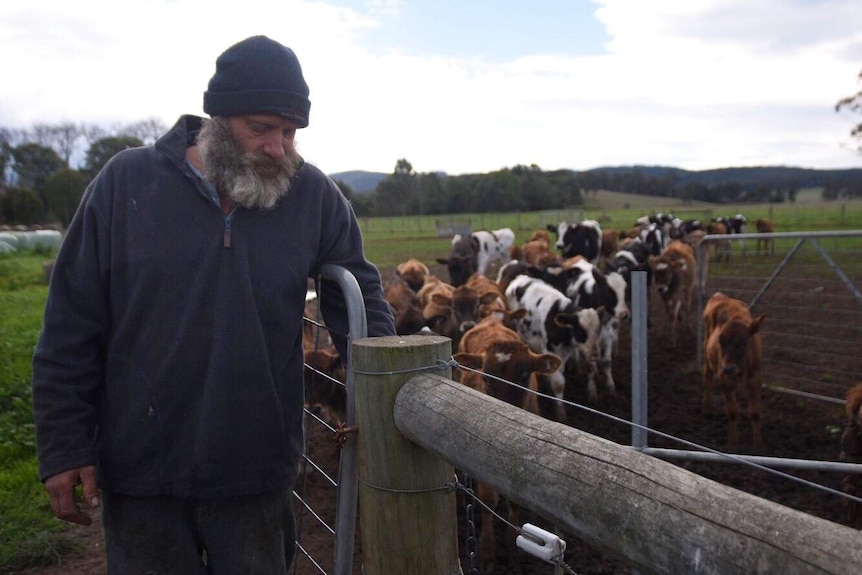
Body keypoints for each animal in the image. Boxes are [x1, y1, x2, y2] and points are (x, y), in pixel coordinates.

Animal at [456, 316, 564, 572]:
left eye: (524, 377)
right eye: (486, 377)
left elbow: (514, 500)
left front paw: (512, 541)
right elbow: (488, 497)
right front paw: (487, 551)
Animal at [502, 274, 604, 418]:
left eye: (598, 329)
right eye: (580, 330)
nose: (595, 354)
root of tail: (520, 278)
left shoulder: (567, 350)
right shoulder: (551, 349)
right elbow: (558, 383)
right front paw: (561, 413)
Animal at [704, 292, 768, 450]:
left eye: (743, 342)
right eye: (721, 341)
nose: (728, 368)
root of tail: (721, 296)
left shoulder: (756, 379)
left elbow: (755, 411)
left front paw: (758, 444)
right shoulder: (725, 380)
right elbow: (732, 411)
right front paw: (733, 443)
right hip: (707, 355)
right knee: (708, 378)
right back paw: (707, 409)